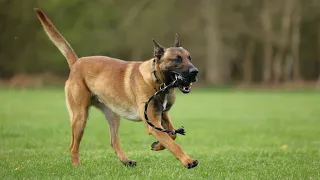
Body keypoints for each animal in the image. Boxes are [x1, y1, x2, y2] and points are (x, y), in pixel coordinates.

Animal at [36, 8, 199, 169]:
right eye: (177, 59)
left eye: (189, 58)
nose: (195, 72)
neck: (157, 80)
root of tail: (77, 63)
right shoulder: (152, 122)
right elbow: (173, 144)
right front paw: (188, 161)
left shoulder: (162, 115)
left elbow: (172, 135)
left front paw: (157, 145)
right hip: (80, 117)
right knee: (73, 146)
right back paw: (77, 166)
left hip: (113, 115)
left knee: (113, 141)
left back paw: (126, 161)